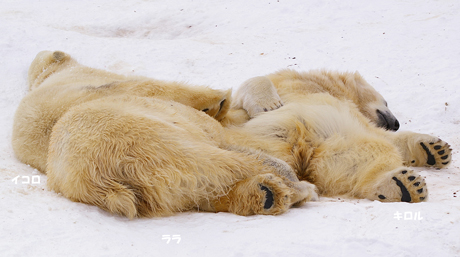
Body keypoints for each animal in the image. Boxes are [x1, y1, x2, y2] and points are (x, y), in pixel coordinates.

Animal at [228, 75, 452, 201]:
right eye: (387, 102)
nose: (396, 123)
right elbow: (247, 88)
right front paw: (268, 105)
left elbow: (389, 140)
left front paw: (436, 150)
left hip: (333, 148)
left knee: (364, 155)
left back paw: (404, 186)